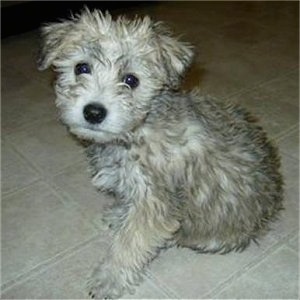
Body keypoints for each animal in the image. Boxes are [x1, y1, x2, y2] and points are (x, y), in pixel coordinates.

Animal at [38, 8, 284, 298]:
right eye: (81, 68)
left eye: (131, 80)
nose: (94, 112)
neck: (138, 128)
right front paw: (120, 214)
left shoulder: (155, 203)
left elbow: (129, 244)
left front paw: (109, 277)